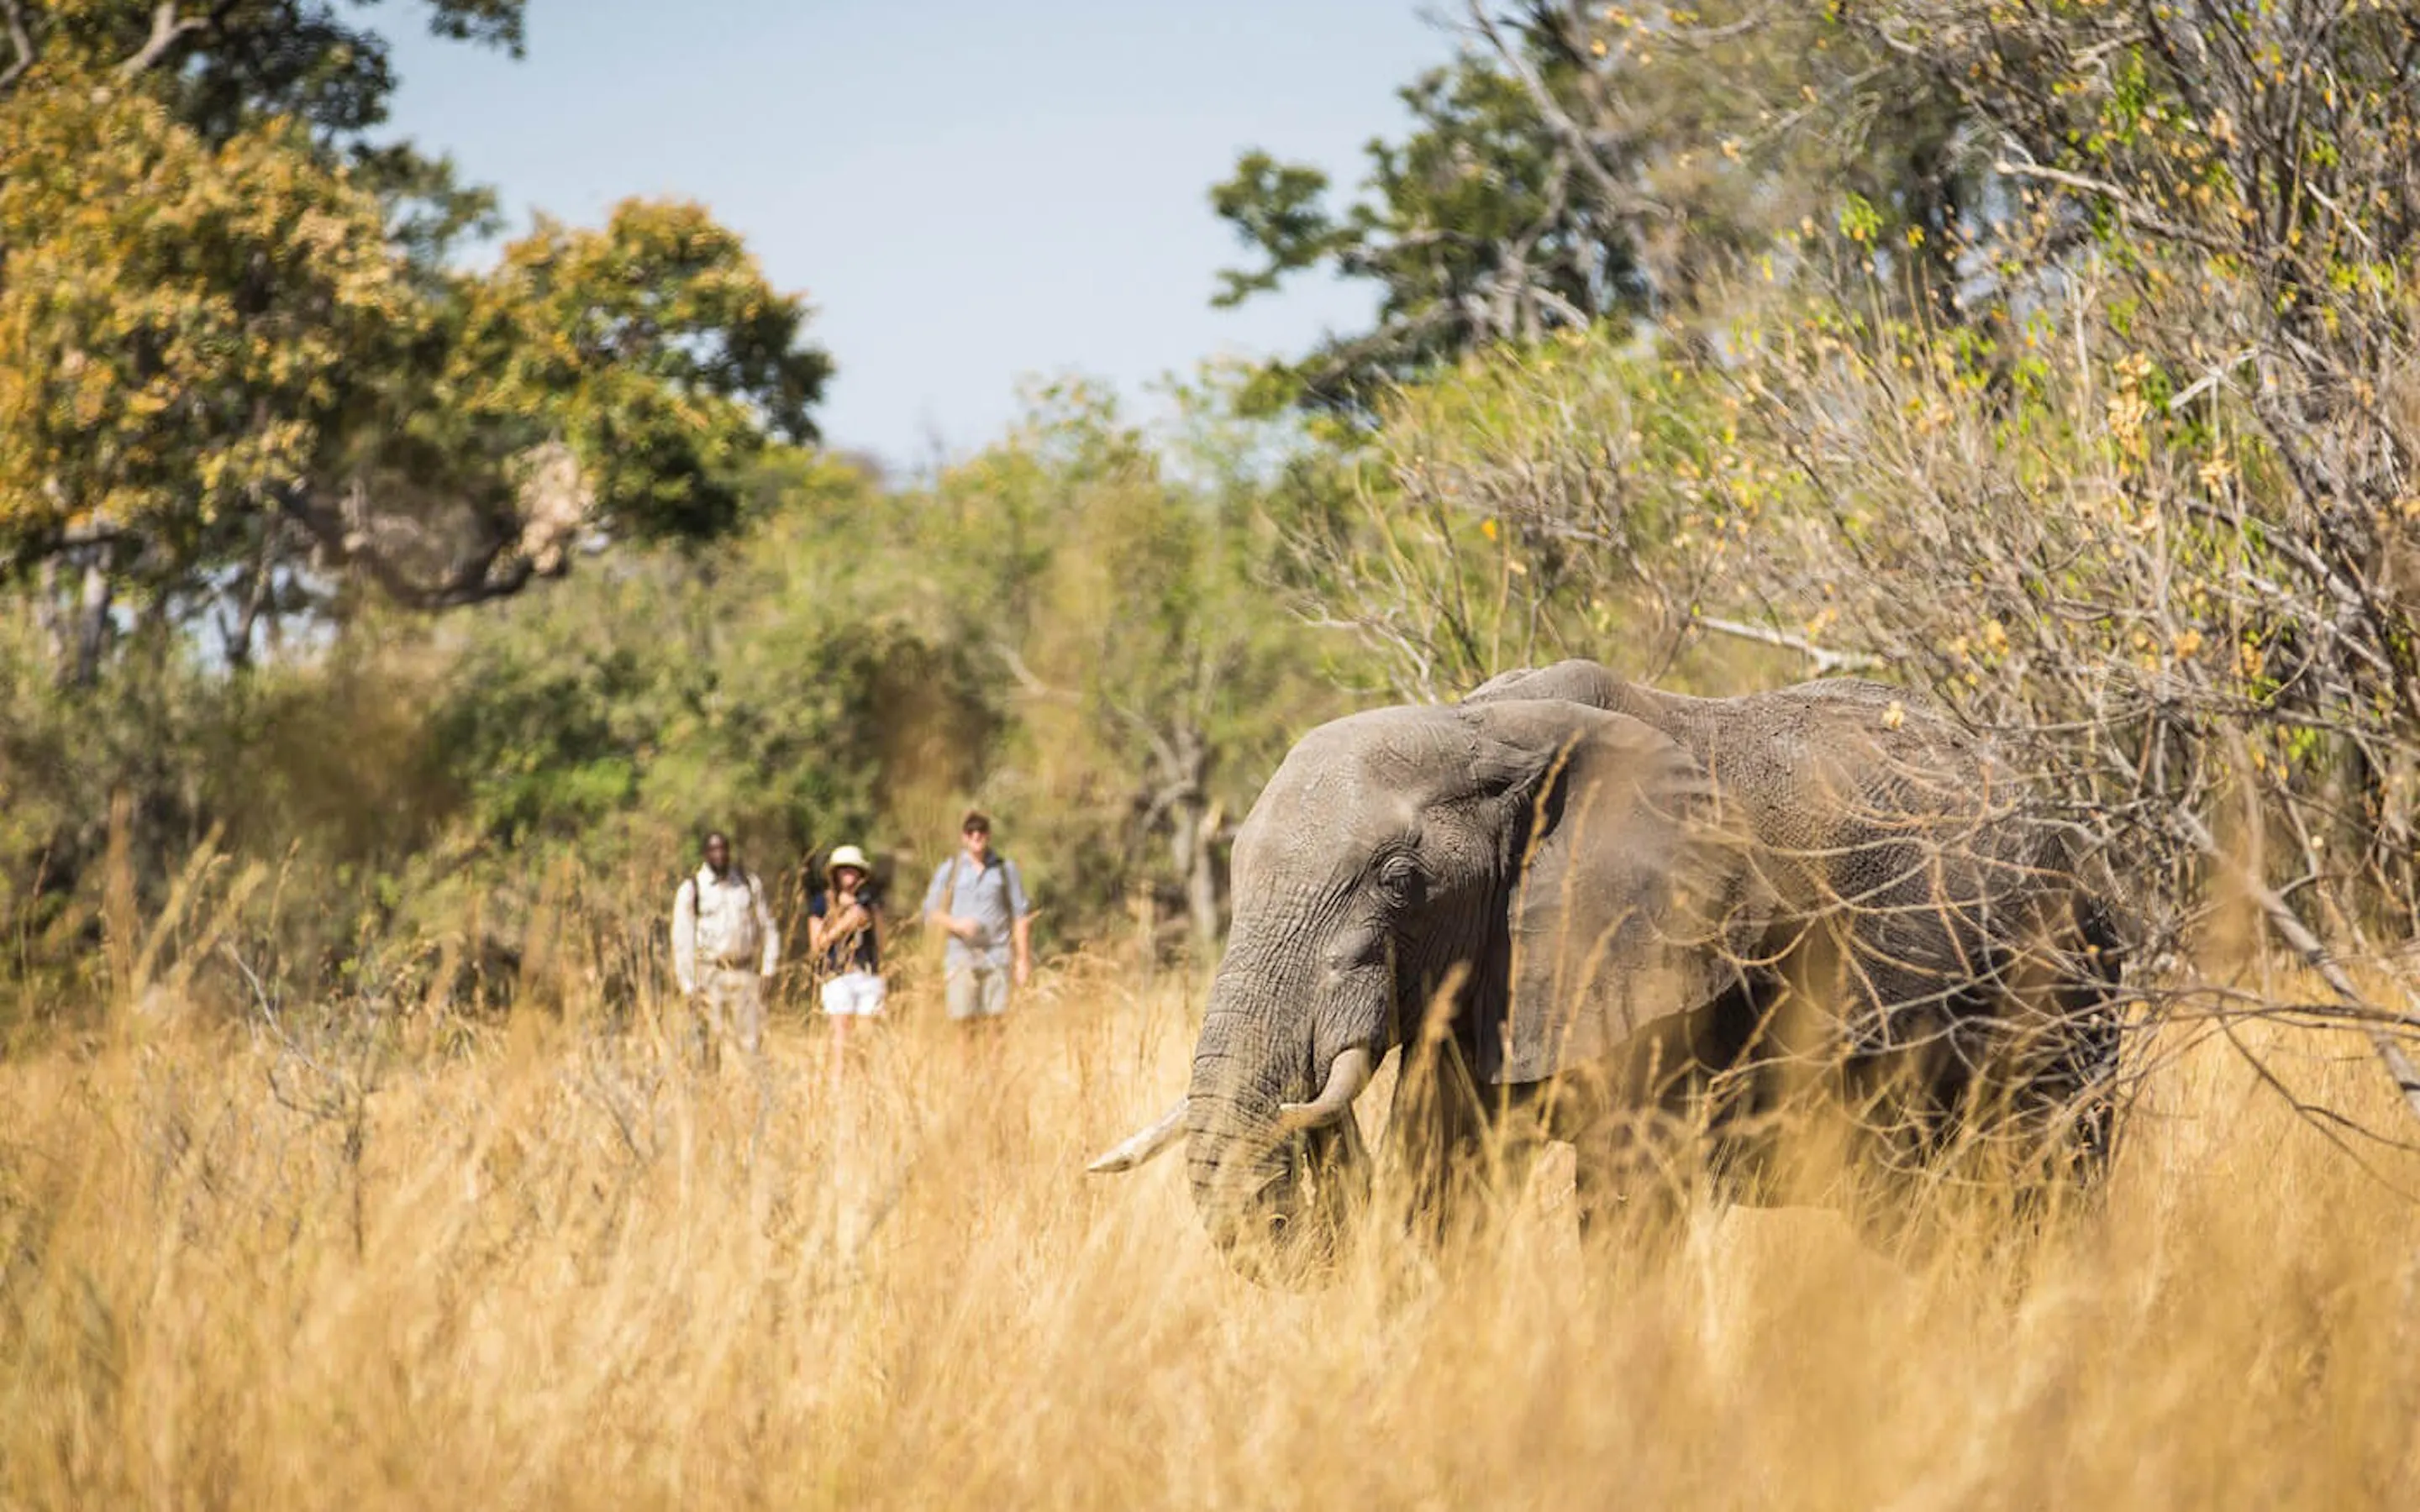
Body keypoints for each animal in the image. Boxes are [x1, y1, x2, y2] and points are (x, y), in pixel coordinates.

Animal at [1088, 660, 2124, 1280]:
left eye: (1400, 883)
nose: (1307, 1104)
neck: (1484, 727)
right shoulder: (1497, 966)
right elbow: (1445, 1179)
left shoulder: (1667, 958)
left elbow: (1628, 1196)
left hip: (2064, 982)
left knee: (2045, 1187)